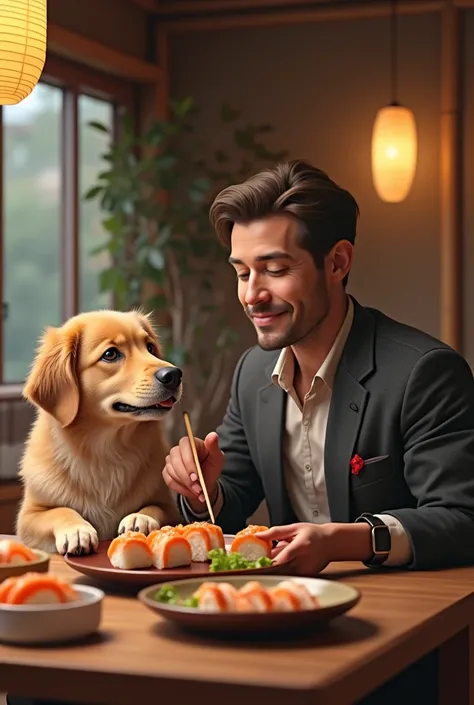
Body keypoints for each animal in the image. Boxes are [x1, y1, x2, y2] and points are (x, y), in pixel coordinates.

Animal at [15, 308, 182, 556]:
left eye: (150, 347)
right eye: (110, 354)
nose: (174, 374)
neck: (106, 451)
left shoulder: (170, 508)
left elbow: (155, 507)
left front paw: (140, 518)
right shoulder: (28, 517)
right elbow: (60, 510)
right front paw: (76, 530)